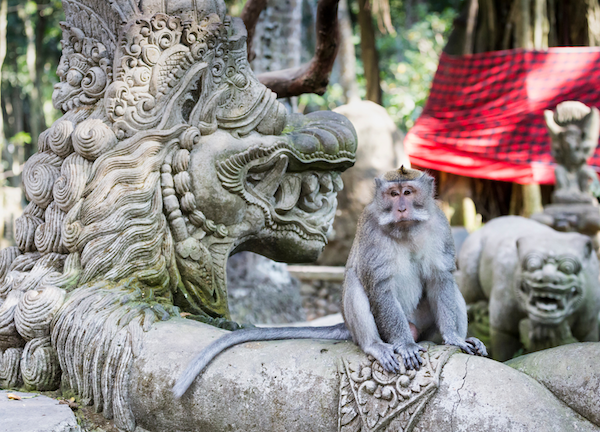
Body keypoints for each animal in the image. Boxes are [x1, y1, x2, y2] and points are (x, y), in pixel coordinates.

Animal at [173, 167, 488, 400]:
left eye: (408, 193)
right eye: (393, 193)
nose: (400, 208)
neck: (406, 229)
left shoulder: (439, 225)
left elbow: (440, 279)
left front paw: (454, 338)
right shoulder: (370, 227)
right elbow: (379, 286)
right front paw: (405, 345)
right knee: (355, 281)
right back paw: (377, 345)